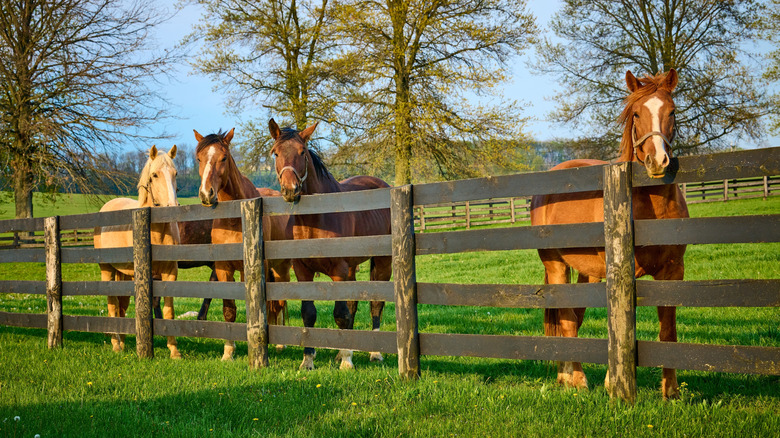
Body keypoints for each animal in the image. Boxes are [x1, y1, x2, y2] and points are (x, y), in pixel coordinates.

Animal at [93, 145, 183, 359]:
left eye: (175, 173)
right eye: (155, 175)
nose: (173, 207)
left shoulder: (170, 273)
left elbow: (169, 311)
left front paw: (174, 351)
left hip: (123, 274)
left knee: (122, 306)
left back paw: (123, 342)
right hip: (107, 270)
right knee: (112, 304)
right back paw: (116, 345)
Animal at [195, 128, 293, 361]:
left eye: (223, 158)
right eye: (199, 158)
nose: (206, 194)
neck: (235, 219)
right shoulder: (223, 269)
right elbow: (229, 310)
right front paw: (228, 352)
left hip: (281, 268)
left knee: (280, 302)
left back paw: (280, 344)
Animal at [268, 118, 392, 370]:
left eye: (302, 152)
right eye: (275, 153)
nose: (290, 190)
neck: (316, 218)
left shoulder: (338, 271)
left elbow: (341, 313)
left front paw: (346, 361)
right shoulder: (303, 271)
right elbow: (309, 313)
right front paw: (308, 360)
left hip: (383, 262)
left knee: (376, 303)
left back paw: (375, 352)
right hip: (353, 267)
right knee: (354, 303)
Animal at [530, 69, 687, 399]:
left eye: (672, 111)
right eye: (636, 113)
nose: (657, 161)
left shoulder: (673, 272)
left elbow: (668, 330)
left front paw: (671, 391)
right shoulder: (620, 274)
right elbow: (619, 325)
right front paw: (611, 382)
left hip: (586, 272)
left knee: (574, 316)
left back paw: (565, 376)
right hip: (556, 265)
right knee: (567, 320)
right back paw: (578, 380)